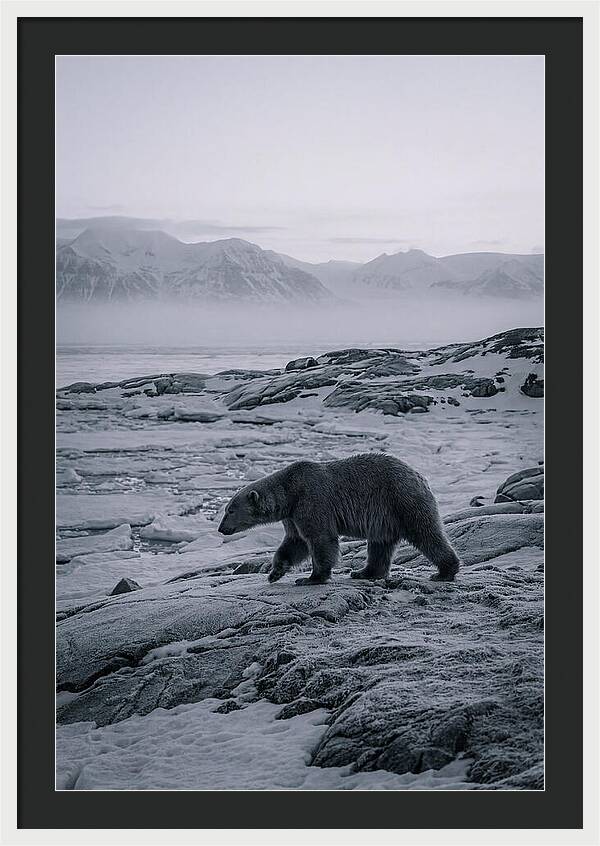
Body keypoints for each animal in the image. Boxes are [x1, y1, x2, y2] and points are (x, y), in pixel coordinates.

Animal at [218, 453, 460, 586]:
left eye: (230, 510)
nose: (221, 529)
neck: (289, 491)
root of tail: (419, 476)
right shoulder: (293, 515)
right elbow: (295, 542)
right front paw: (275, 572)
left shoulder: (311, 500)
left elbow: (320, 538)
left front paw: (311, 578)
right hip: (385, 516)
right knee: (380, 545)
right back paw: (364, 572)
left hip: (401, 499)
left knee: (425, 533)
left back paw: (445, 571)